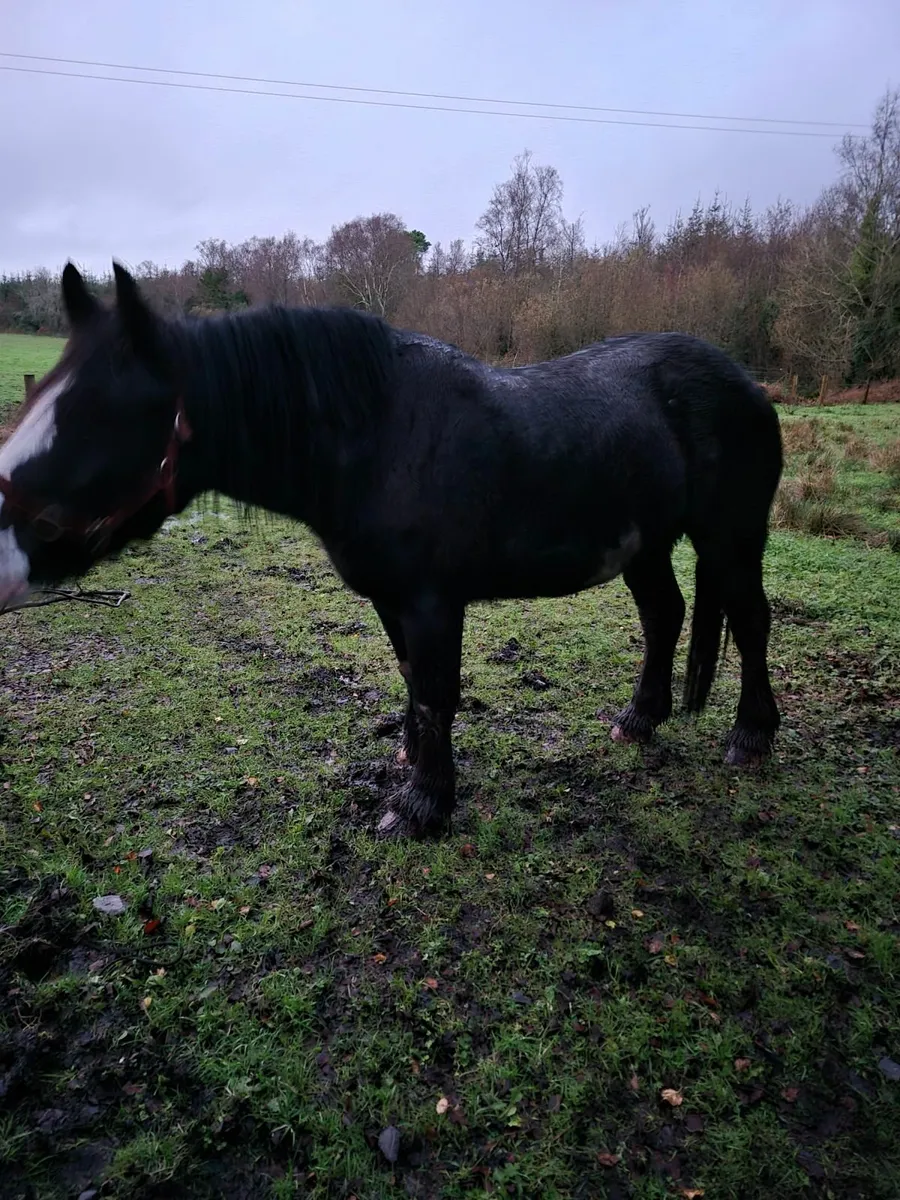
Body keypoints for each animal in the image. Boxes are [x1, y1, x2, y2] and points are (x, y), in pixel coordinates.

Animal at [0, 262, 783, 839]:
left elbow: (437, 692)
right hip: (646, 546)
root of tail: (747, 384)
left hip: (731, 540)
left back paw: (751, 737)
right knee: (664, 615)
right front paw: (411, 761)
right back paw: (640, 719)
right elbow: (412, 682)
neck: (378, 436)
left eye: (94, 417)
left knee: (751, 623)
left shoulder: (434, 602)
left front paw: (423, 806)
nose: (3, 554)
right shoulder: (391, 599)